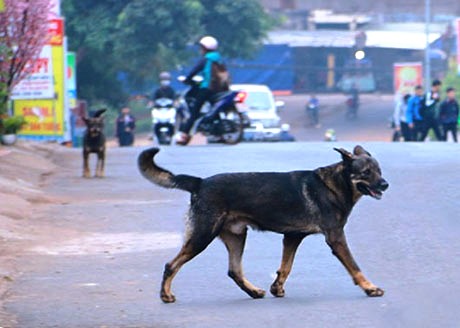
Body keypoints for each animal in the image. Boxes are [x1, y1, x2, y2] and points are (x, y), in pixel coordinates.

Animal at [137, 145, 388, 304]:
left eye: (379, 170)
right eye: (366, 172)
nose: (386, 184)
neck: (336, 184)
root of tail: (200, 183)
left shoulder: (292, 237)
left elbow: (286, 267)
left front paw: (276, 288)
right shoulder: (335, 238)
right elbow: (354, 267)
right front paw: (370, 288)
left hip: (237, 236)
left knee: (234, 270)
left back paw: (254, 291)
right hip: (202, 236)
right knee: (171, 264)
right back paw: (165, 296)